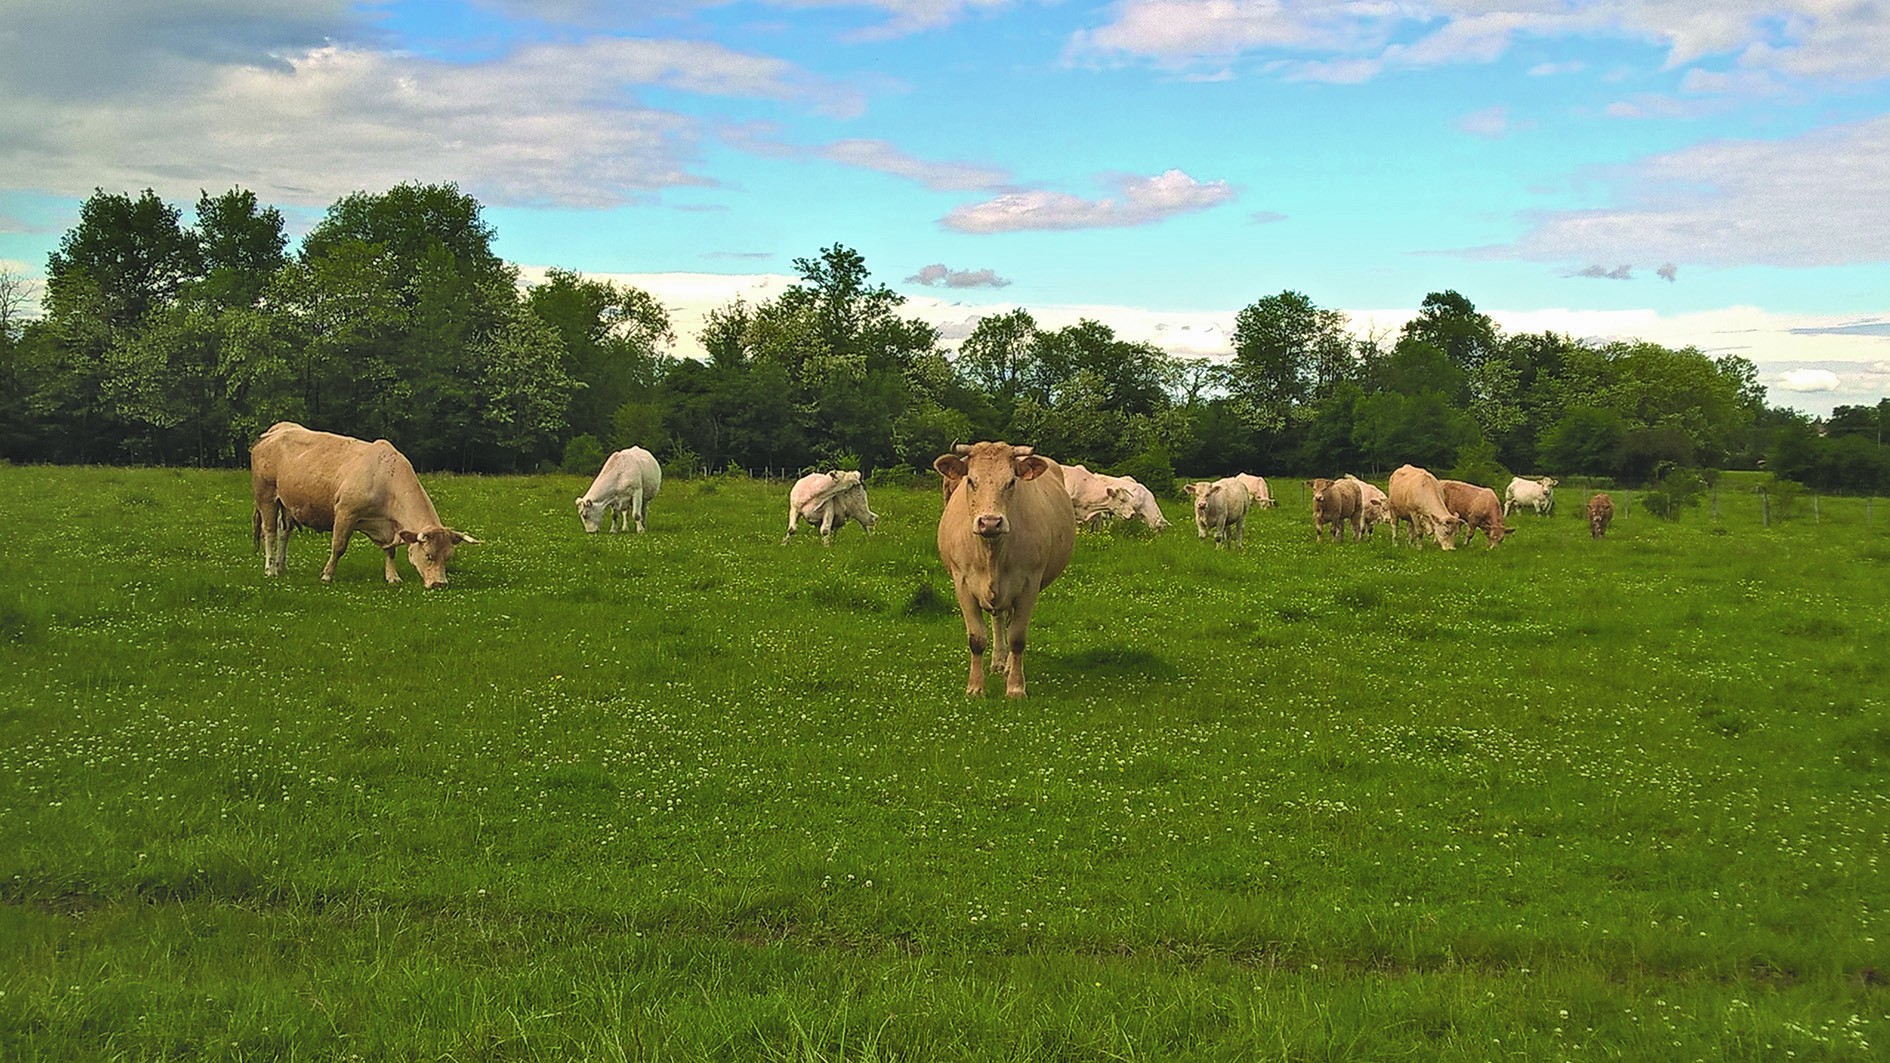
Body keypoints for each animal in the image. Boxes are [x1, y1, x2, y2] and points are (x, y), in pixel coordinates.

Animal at [249, 419, 480, 586]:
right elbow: (338, 546)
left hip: (286, 503)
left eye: (448, 557)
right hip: (266, 495)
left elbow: (390, 550)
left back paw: (281, 566)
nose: (440, 584)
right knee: (269, 531)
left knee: (283, 532)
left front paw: (392, 577)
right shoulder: (345, 513)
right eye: (429, 555)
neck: (385, 478)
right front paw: (327, 575)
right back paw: (270, 569)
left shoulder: (388, 526)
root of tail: (275, 431)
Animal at [933, 438, 1081, 696]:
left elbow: (1018, 638)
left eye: (1011, 481)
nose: (990, 522)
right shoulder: (962, 583)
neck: (991, 553)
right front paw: (975, 687)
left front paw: (1016, 687)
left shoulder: (1029, 584)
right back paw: (999, 661)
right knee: (999, 619)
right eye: (971, 481)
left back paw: (1009, 665)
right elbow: (976, 639)